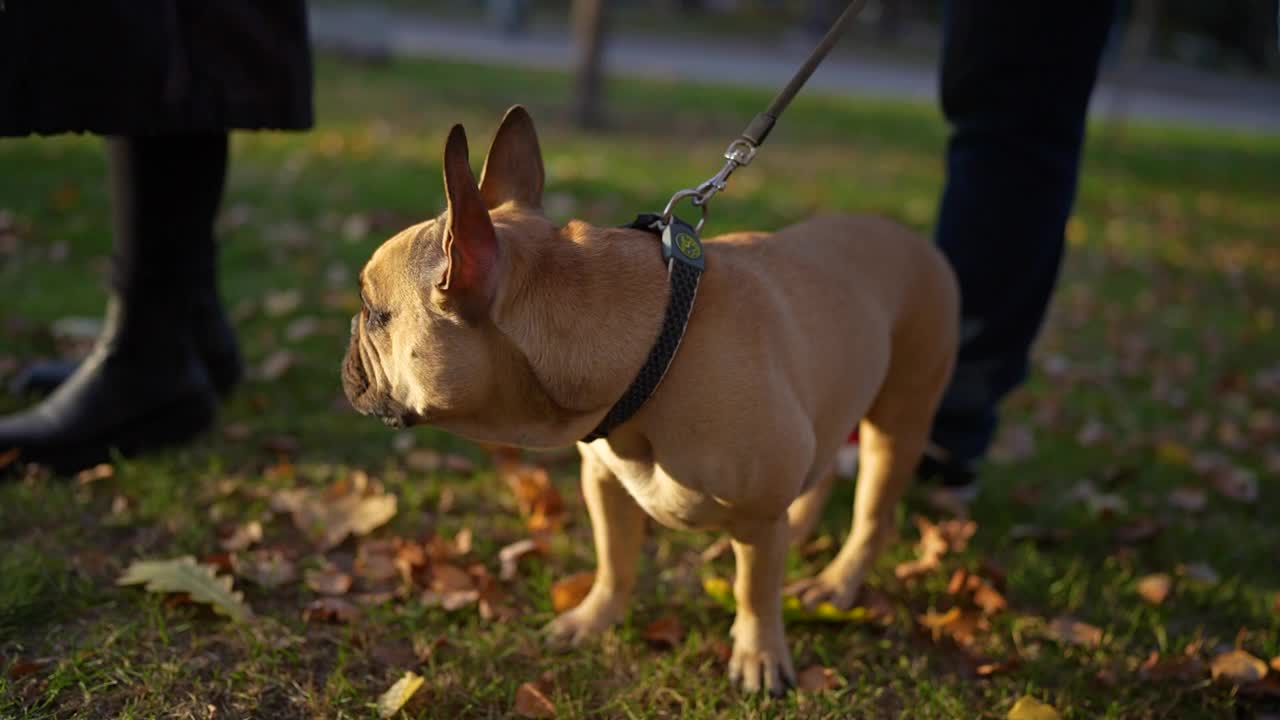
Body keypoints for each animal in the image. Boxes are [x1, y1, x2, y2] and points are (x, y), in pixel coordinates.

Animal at [345, 105, 957, 691]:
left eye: (374, 313)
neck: (655, 349)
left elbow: (755, 592)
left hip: (899, 420)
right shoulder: (605, 481)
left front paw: (759, 655)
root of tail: (914, 240)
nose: (349, 339)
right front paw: (593, 620)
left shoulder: (759, 514)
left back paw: (835, 583)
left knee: (871, 515)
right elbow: (615, 559)